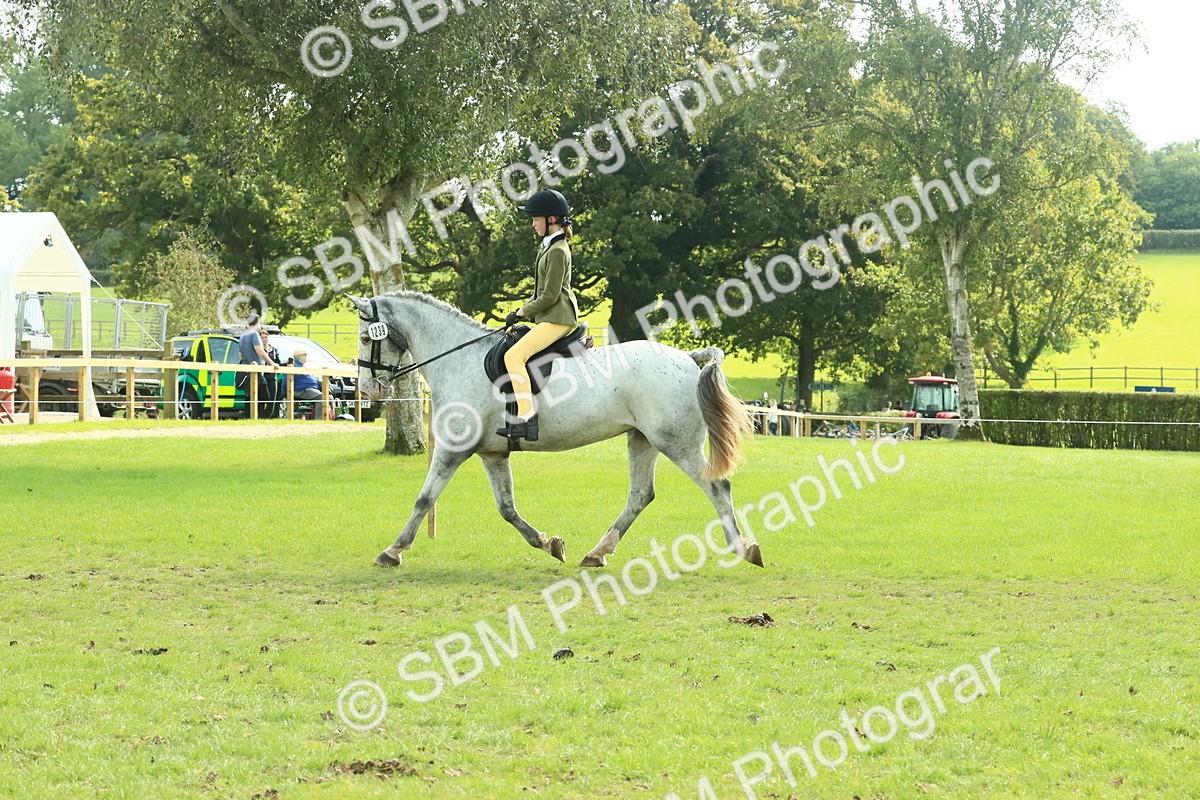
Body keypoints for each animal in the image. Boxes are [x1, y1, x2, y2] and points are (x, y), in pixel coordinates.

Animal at [347, 292, 763, 569]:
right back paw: (596, 553)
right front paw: (549, 544)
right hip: (642, 440)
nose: (368, 391)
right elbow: (507, 508)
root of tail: (689, 359)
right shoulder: (493, 453)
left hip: (676, 443)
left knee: (716, 486)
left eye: (367, 338)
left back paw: (743, 548)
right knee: (640, 495)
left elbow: (424, 499)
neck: (459, 358)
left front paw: (392, 551)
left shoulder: (452, 448)